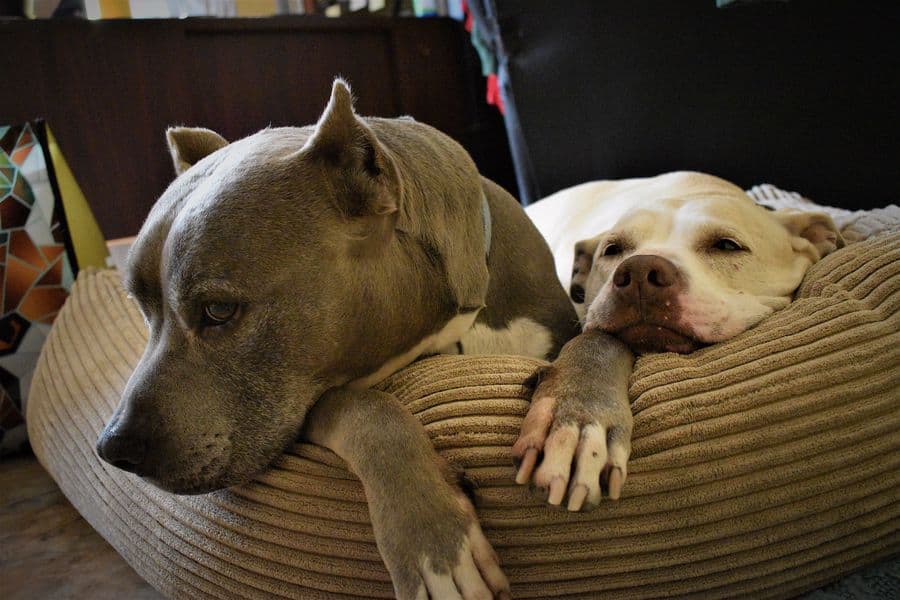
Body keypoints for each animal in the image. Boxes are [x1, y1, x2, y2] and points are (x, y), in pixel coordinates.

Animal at [96, 81, 576, 600]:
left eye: (218, 310)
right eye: (141, 306)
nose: (112, 447)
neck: (451, 324)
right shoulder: (310, 400)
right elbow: (366, 410)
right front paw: (433, 539)